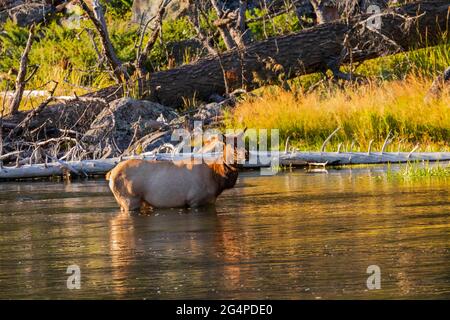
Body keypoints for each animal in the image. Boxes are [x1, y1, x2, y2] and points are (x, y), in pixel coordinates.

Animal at [106, 129, 246, 211]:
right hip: (129, 200)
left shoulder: (210, 201)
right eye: (231, 146)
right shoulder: (194, 200)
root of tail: (110, 173)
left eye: (244, 143)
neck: (217, 178)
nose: (246, 154)